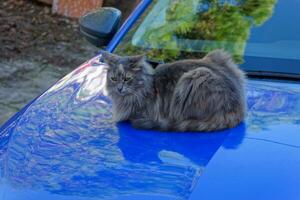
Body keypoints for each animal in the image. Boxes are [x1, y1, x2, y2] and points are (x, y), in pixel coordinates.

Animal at [102, 49, 245, 132]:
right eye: (113, 79)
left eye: (127, 78)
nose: (119, 88)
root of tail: (239, 108)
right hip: (219, 56)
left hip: (194, 77)